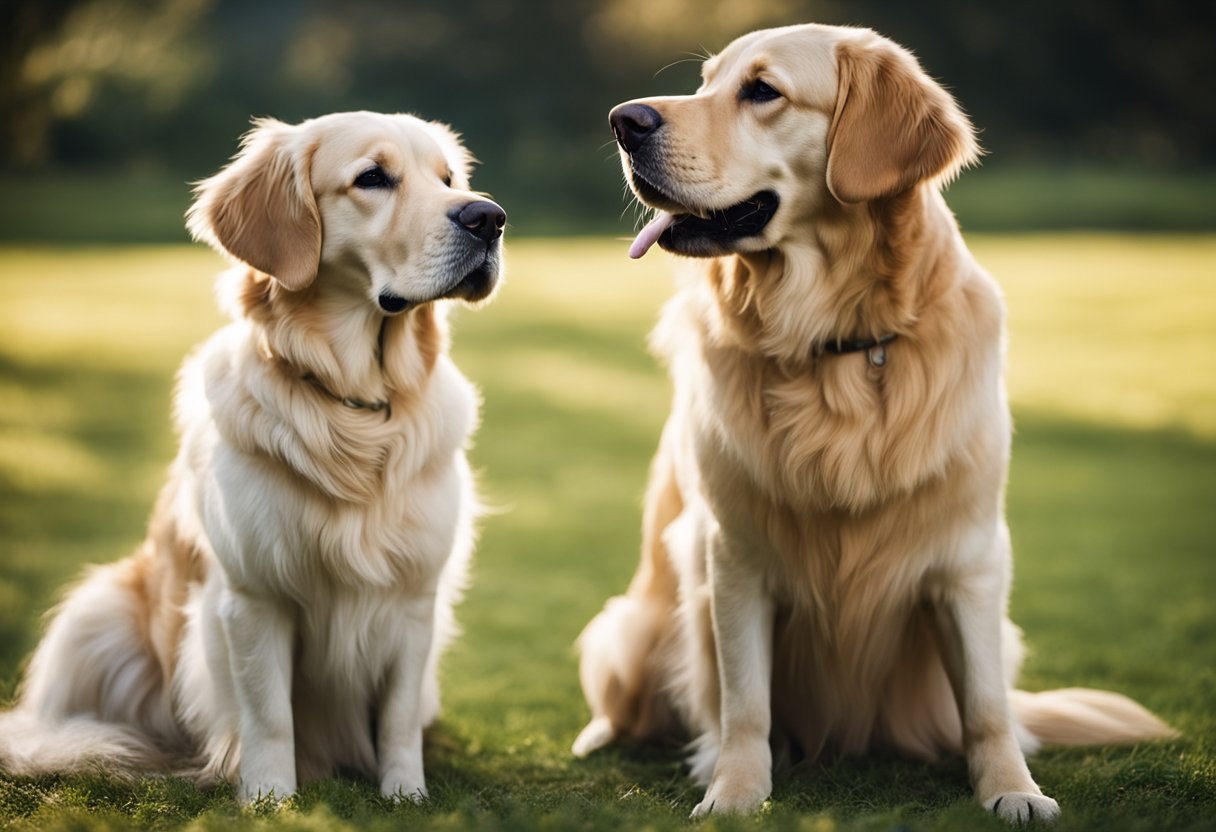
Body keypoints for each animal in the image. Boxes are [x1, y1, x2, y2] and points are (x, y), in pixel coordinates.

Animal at [0, 110, 503, 807]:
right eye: (372, 178)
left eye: (450, 179)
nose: (489, 217)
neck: (353, 409)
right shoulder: (252, 596)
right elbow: (268, 715)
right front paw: (270, 800)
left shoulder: (413, 596)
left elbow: (399, 714)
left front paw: (405, 794)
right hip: (95, 612)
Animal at [573, 22, 1172, 822]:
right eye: (705, 84)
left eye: (761, 90)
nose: (623, 121)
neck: (835, 347)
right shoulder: (733, 558)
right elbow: (744, 705)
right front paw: (734, 793)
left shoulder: (970, 561)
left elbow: (987, 707)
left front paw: (1012, 791)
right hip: (630, 627)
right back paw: (604, 735)